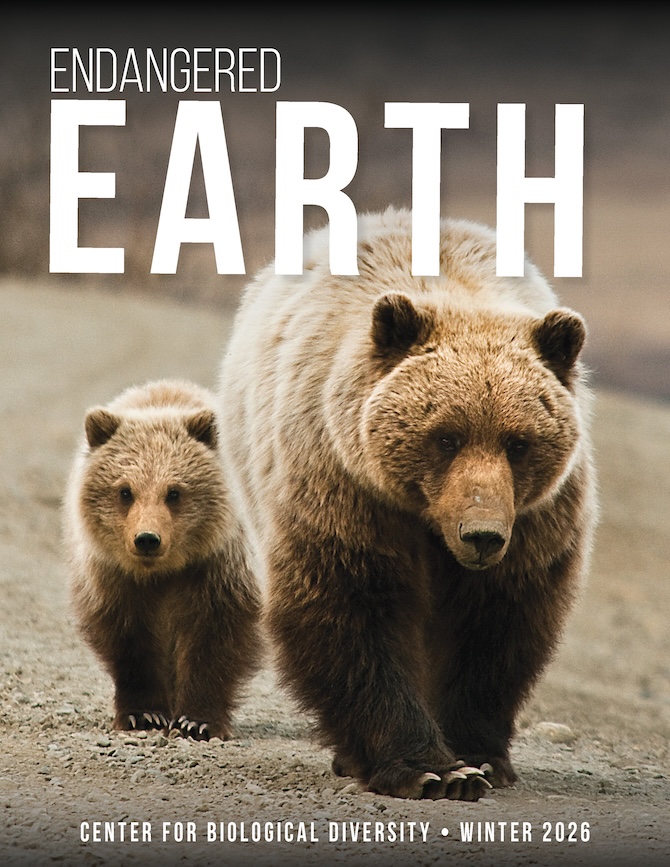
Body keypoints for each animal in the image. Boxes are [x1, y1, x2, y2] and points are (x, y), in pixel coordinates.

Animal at [63, 379, 262, 740]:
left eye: (174, 492)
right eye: (125, 491)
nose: (147, 539)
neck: (165, 571)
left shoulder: (218, 568)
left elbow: (215, 638)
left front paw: (197, 721)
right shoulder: (114, 578)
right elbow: (131, 642)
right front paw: (143, 714)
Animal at [217, 207, 597, 799]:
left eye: (518, 442)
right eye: (445, 436)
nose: (481, 535)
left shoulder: (535, 521)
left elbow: (494, 628)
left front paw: (479, 756)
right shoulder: (347, 488)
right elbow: (353, 611)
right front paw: (430, 768)